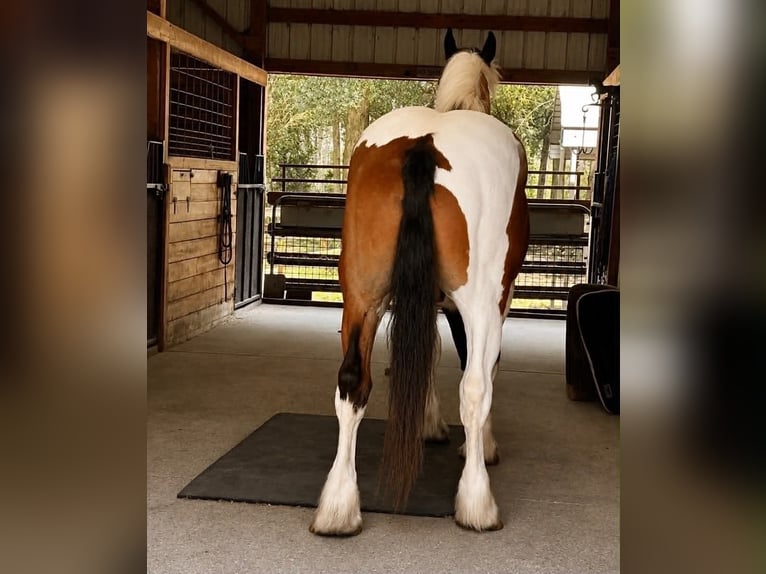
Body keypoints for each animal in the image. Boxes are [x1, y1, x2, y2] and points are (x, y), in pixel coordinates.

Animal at [310, 29, 530, 536]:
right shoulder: (495, 302)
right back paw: (477, 503)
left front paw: (428, 424)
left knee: (352, 384)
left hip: (362, 296)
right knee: (474, 387)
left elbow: (426, 353)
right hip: (480, 301)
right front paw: (481, 444)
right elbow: (479, 366)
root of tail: (425, 144)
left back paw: (337, 507)